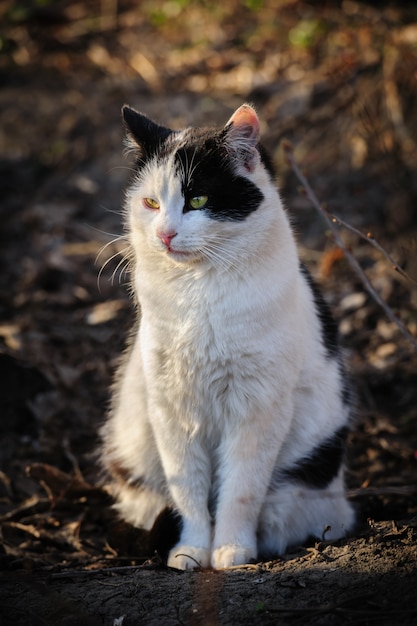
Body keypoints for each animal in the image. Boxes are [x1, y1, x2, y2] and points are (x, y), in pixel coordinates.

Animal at [101, 103, 354, 572]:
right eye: (151, 202)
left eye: (198, 200)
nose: (164, 233)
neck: (199, 293)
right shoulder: (172, 407)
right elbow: (188, 491)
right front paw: (190, 552)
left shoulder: (258, 408)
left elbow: (241, 489)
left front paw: (232, 551)